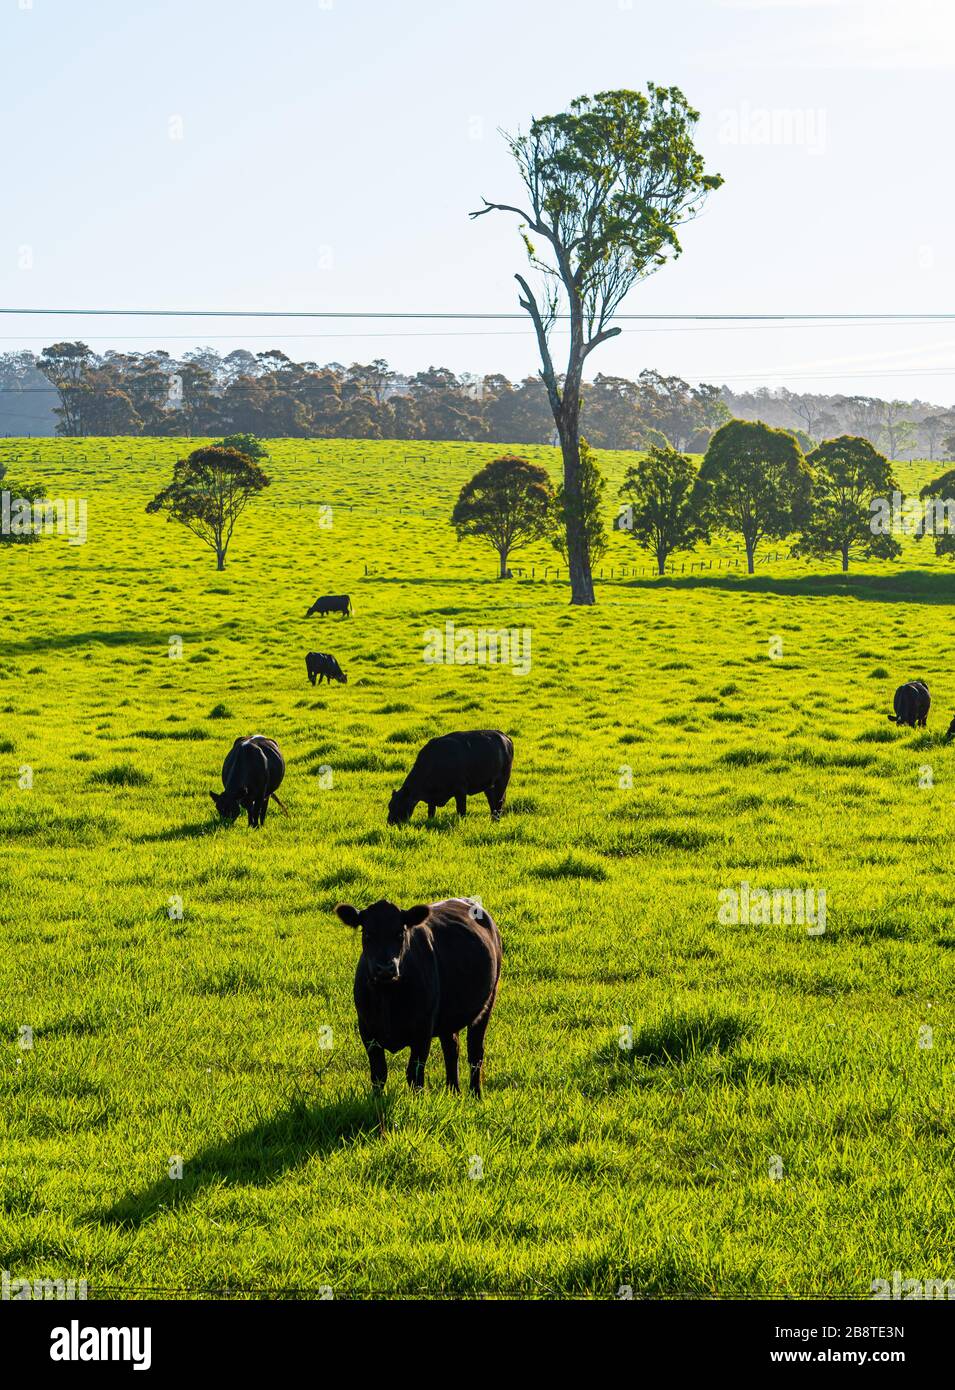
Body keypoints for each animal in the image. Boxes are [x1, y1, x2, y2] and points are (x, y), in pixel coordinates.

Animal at [335, 895, 503, 1100]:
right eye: (367, 934)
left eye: (400, 934)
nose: (385, 968)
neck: (387, 996)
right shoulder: (367, 1029)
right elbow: (378, 1073)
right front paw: (376, 1100)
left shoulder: (423, 1030)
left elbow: (414, 1072)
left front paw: (418, 1101)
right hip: (448, 1018)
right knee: (451, 1049)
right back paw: (453, 1091)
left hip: (487, 1003)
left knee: (475, 1053)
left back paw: (475, 1094)